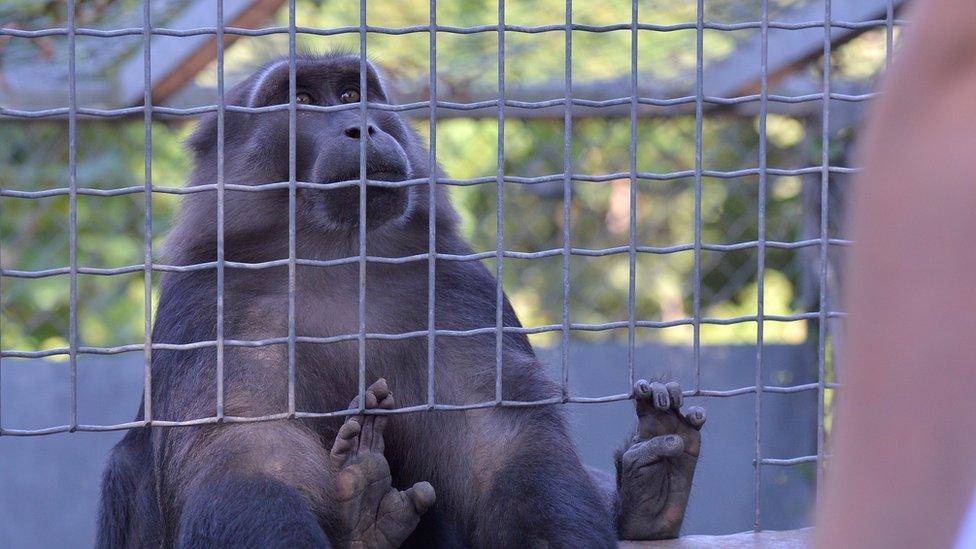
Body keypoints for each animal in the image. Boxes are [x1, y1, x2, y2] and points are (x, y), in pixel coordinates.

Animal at [97, 52, 700, 548]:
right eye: (301, 99)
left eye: (349, 92)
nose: (360, 125)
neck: (335, 257)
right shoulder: (213, 300)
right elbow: (248, 453)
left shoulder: (449, 283)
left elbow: (501, 445)